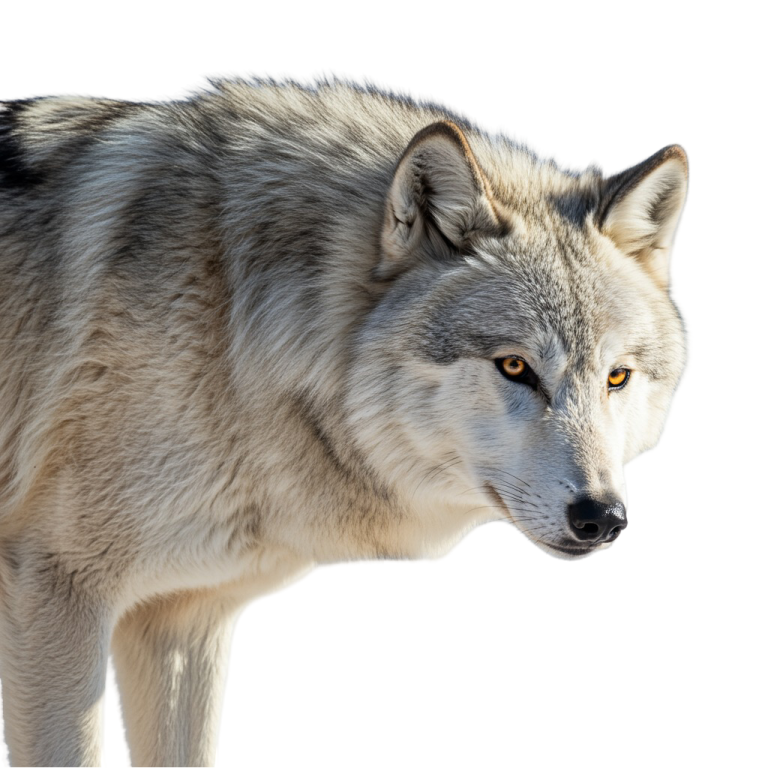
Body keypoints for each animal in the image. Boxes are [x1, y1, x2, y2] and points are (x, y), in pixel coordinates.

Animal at [0, 69, 692, 766]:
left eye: (617, 377)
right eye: (516, 366)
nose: (601, 517)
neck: (233, 324)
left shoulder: (178, 621)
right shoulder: (58, 593)